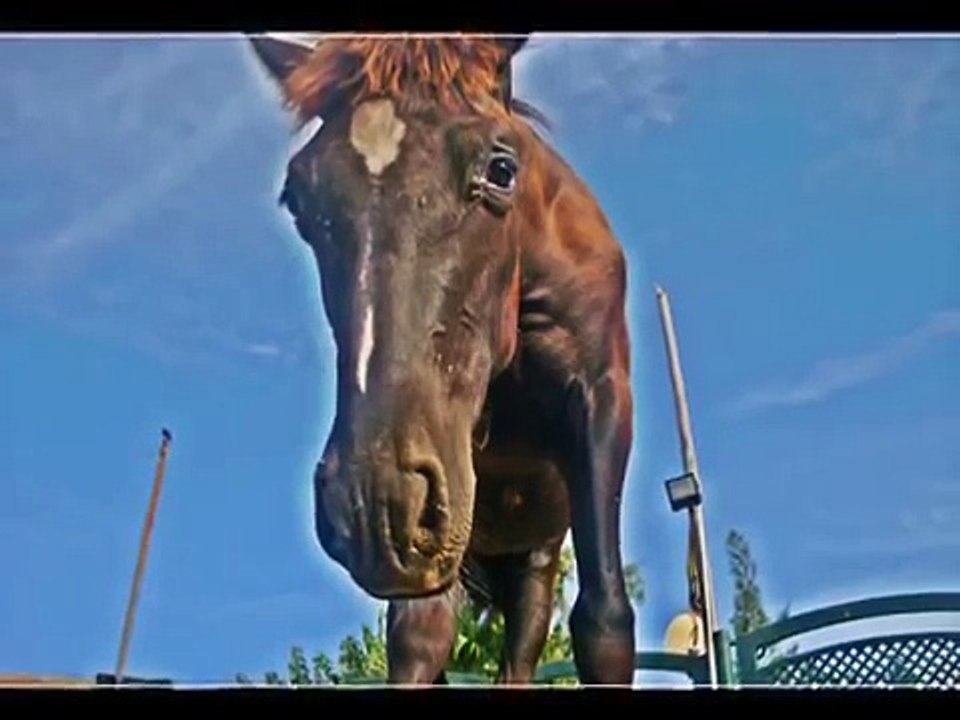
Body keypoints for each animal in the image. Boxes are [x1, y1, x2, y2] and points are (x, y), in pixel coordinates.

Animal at [248, 35, 637, 686]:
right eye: (298, 201)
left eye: (501, 170)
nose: (370, 501)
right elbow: (419, 638)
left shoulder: (601, 402)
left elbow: (605, 622)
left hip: (531, 551)